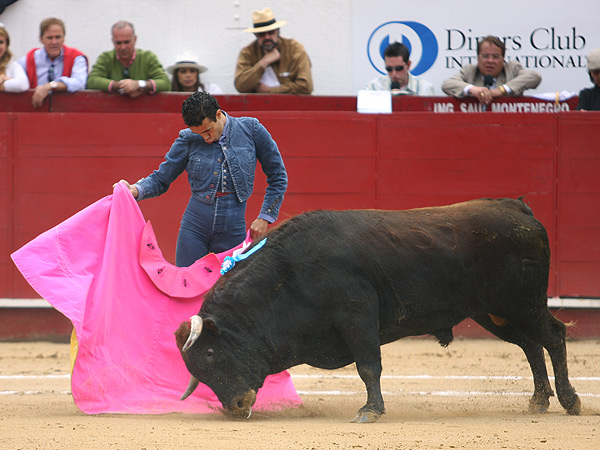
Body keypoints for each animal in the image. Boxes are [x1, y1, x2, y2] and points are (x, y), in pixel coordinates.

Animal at [175, 198, 581, 423]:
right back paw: (538, 401)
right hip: (493, 312)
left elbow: (369, 367)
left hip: (522, 302)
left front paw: (369, 411)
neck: (288, 274)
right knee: (530, 345)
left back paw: (569, 400)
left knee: (553, 335)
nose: (236, 405)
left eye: (210, 353)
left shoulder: (358, 316)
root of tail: (516, 208)